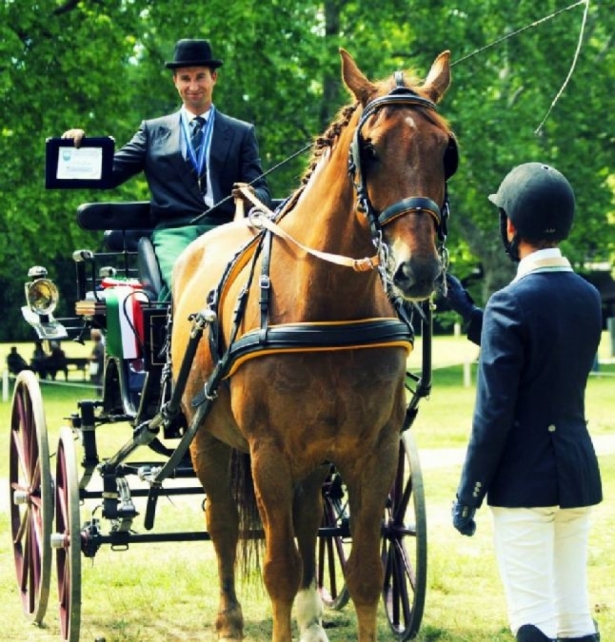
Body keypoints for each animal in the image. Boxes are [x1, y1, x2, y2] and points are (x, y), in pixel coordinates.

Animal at [171, 50, 454, 640]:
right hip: (206, 438)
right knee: (222, 522)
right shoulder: (268, 455)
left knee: (309, 521)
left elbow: (366, 570)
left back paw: (311, 618)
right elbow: (278, 568)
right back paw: (229, 618)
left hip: (312, 457)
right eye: (370, 150)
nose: (416, 270)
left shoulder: (374, 449)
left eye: (446, 150)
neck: (326, 306)